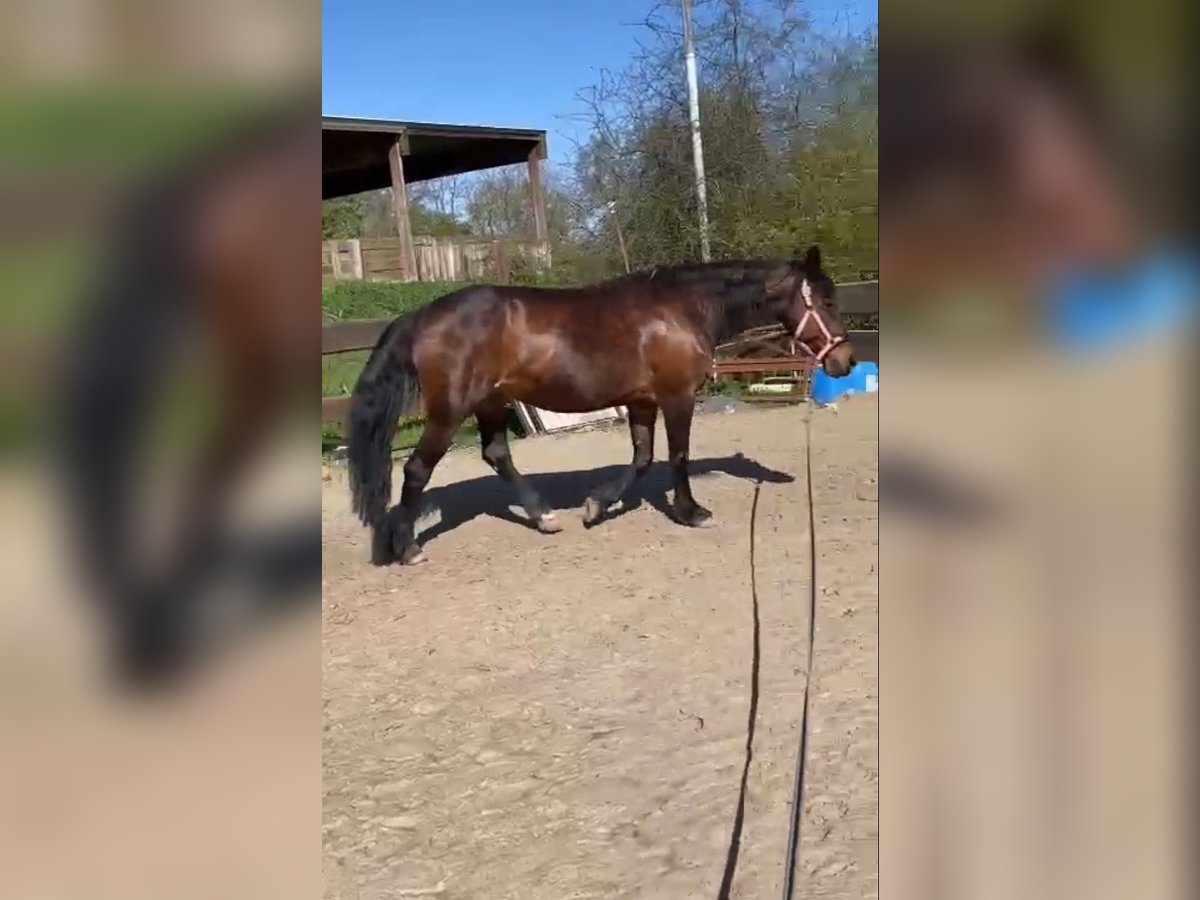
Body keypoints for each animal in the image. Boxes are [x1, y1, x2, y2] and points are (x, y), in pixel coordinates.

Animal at [348, 243, 854, 566]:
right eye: (827, 301)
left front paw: (596, 506)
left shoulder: (642, 401)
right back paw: (408, 549)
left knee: (496, 454)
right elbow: (678, 455)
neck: (681, 308)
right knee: (417, 469)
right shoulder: (676, 396)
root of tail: (422, 316)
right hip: (450, 410)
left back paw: (544, 518)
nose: (846, 361)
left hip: (490, 401)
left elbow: (643, 458)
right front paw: (692, 513)